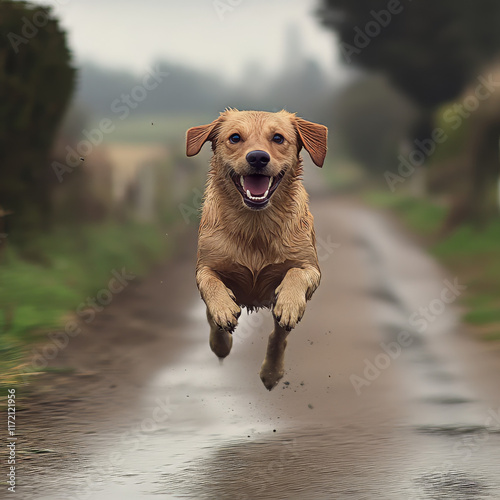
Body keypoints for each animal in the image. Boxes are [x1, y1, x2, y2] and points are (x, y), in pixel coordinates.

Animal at [186, 109, 326, 390]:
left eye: (278, 138)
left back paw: (271, 372)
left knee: (278, 336)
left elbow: (296, 272)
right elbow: (210, 284)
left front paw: (290, 303)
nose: (258, 157)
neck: (255, 225)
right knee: (211, 319)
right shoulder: (205, 267)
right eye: (235, 137)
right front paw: (223, 310)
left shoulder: (311, 268)